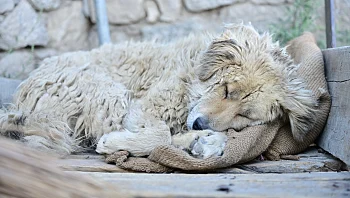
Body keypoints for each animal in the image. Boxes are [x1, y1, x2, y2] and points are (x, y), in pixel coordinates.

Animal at [0, 24, 318, 159]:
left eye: (245, 114)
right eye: (227, 90)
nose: (200, 124)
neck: (191, 75)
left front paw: (207, 139)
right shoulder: (142, 109)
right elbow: (160, 134)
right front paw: (115, 143)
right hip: (108, 92)